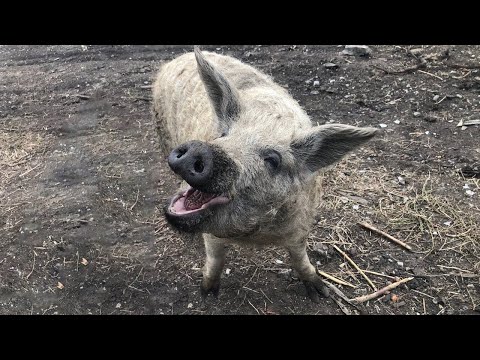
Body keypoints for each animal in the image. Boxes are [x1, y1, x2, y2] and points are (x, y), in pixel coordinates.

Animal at [152, 46, 376, 302]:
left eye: (272, 160)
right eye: (223, 134)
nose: (197, 149)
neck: (255, 235)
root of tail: (178, 58)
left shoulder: (301, 225)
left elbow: (300, 257)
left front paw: (322, 293)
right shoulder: (212, 236)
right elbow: (215, 259)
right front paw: (206, 294)